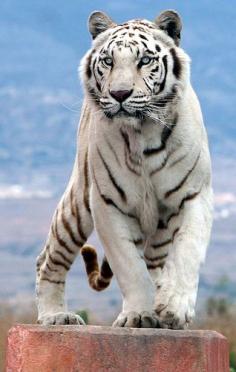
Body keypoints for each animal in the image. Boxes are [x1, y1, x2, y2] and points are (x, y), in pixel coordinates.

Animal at [35, 9, 214, 328]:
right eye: (108, 61)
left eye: (145, 60)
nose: (120, 93)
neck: (143, 134)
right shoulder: (107, 203)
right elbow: (130, 266)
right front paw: (139, 314)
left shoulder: (194, 196)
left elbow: (186, 251)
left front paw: (174, 307)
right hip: (77, 205)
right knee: (48, 258)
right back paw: (56, 315)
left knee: (156, 261)